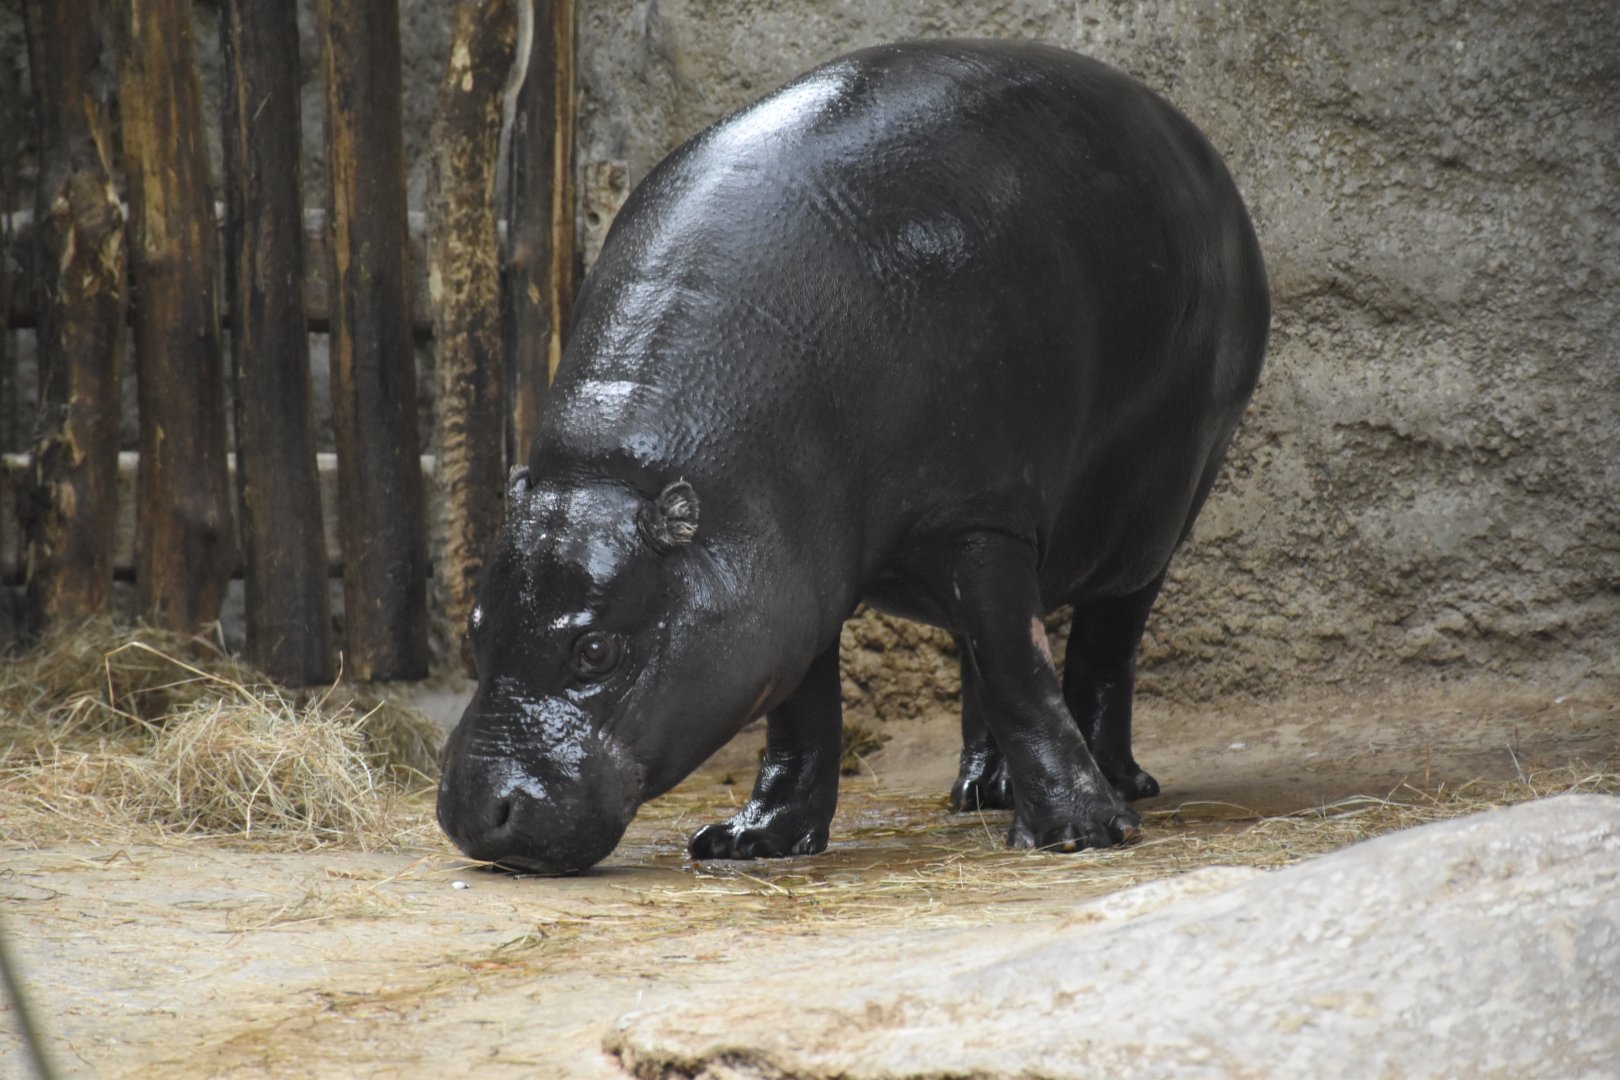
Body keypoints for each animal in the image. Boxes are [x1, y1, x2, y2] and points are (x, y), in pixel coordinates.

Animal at [437, 39, 1269, 873]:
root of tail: (1193, 142)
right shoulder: (788, 573)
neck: (621, 468)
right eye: (474, 627)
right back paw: (982, 791)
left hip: (1150, 509)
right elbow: (804, 714)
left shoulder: (980, 517)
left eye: (597, 650)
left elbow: (1020, 671)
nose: (474, 816)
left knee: (1102, 644)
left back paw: (1117, 787)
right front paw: (752, 840)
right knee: (980, 649)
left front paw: (1080, 834)